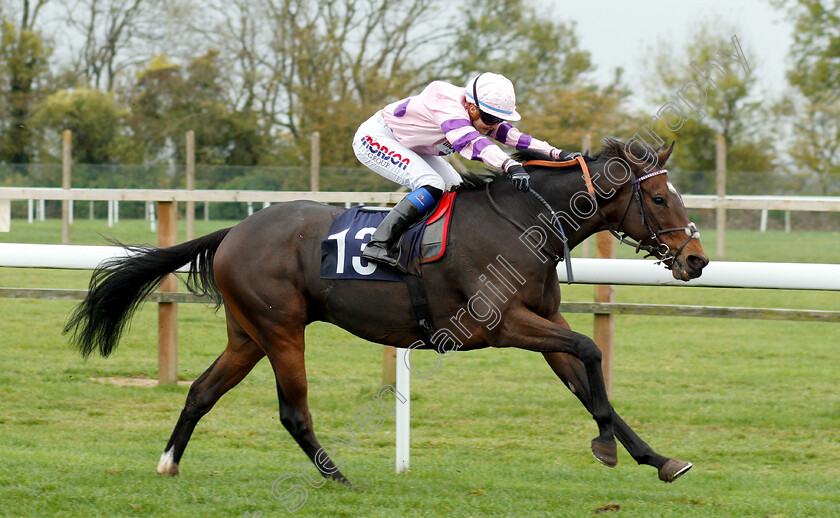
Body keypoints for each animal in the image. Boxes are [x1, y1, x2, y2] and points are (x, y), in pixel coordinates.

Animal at [64, 137, 708, 488]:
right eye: (658, 198)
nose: (696, 259)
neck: (523, 223)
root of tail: (234, 231)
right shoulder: (498, 325)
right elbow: (592, 351)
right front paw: (607, 447)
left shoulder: (545, 324)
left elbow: (588, 376)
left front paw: (657, 458)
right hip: (281, 330)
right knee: (292, 411)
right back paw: (338, 478)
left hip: (246, 334)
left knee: (201, 390)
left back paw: (169, 462)